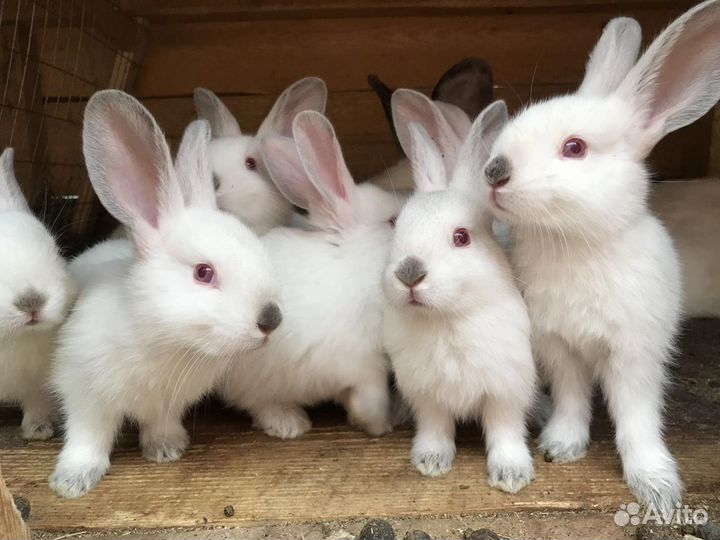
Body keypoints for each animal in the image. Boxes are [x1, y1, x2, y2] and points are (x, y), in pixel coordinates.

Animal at [0, 148, 76, 440]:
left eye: (56, 248)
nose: (31, 302)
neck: (13, 339)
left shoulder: (39, 384)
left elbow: (36, 404)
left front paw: (39, 430)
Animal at [49, 90, 282, 499]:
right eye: (203, 273)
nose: (271, 318)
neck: (162, 339)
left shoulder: (170, 403)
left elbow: (161, 424)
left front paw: (166, 449)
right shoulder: (85, 392)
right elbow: (87, 436)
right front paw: (73, 481)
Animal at [219, 110, 404, 440]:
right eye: (392, 221)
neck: (355, 259)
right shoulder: (365, 363)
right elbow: (372, 399)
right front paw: (379, 427)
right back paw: (289, 423)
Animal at [383, 99, 537, 493]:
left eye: (461, 237)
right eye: (397, 226)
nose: (409, 273)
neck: (447, 318)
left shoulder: (505, 388)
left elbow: (505, 430)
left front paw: (511, 476)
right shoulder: (426, 396)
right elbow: (435, 428)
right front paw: (430, 463)